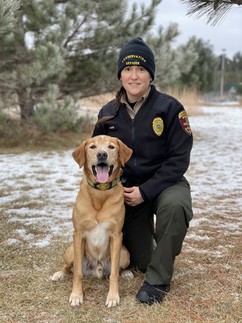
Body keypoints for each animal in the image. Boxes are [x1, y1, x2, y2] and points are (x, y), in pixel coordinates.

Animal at [51, 135, 132, 308]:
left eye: (111, 147)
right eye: (93, 147)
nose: (102, 154)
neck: (100, 193)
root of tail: (97, 268)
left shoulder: (116, 235)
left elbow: (114, 274)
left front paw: (113, 296)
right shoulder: (78, 234)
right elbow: (77, 273)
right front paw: (76, 295)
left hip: (125, 253)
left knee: (117, 269)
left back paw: (126, 272)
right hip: (70, 251)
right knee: (69, 266)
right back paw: (60, 274)